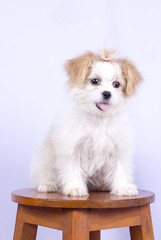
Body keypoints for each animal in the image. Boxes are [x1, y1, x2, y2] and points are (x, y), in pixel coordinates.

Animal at [30, 49, 143, 197]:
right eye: (95, 81)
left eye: (116, 84)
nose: (107, 93)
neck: (98, 119)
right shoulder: (72, 148)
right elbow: (73, 168)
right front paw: (75, 187)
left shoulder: (119, 148)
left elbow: (120, 168)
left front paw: (123, 187)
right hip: (44, 161)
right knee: (45, 175)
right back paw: (48, 185)